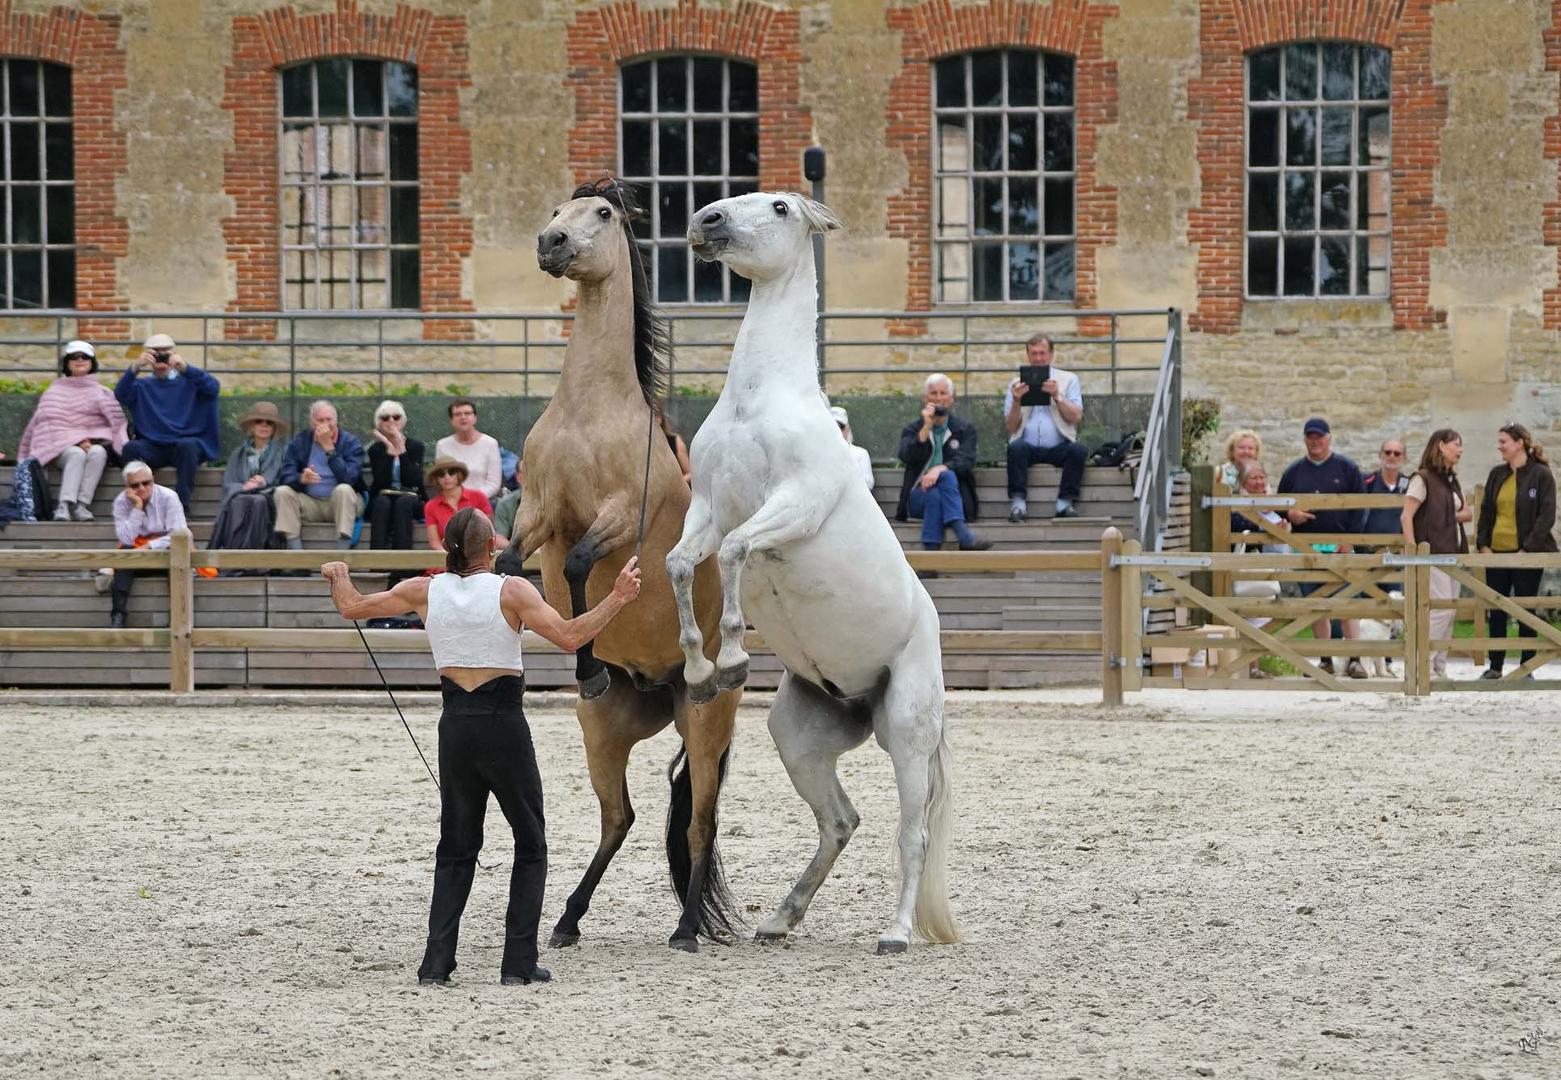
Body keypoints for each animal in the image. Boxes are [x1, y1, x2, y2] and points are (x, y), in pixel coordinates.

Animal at [502, 181, 739, 948]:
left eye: (602, 215)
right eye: (556, 210)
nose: (550, 243)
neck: (590, 410)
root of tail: (664, 684)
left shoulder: (613, 520)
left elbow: (579, 565)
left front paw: (584, 663)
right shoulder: (538, 510)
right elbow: (512, 559)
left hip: (705, 727)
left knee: (698, 823)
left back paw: (688, 928)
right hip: (605, 733)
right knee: (621, 817)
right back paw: (566, 920)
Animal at [664, 191, 955, 955]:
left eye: (778, 207)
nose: (704, 221)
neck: (759, 401)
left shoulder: (789, 507)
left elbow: (737, 553)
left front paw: (733, 657)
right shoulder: (706, 508)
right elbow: (682, 563)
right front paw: (700, 672)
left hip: (907, 733)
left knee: (911, 834)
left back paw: (895, 934)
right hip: (798, 738)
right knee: (841, 820)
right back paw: (778, 918)